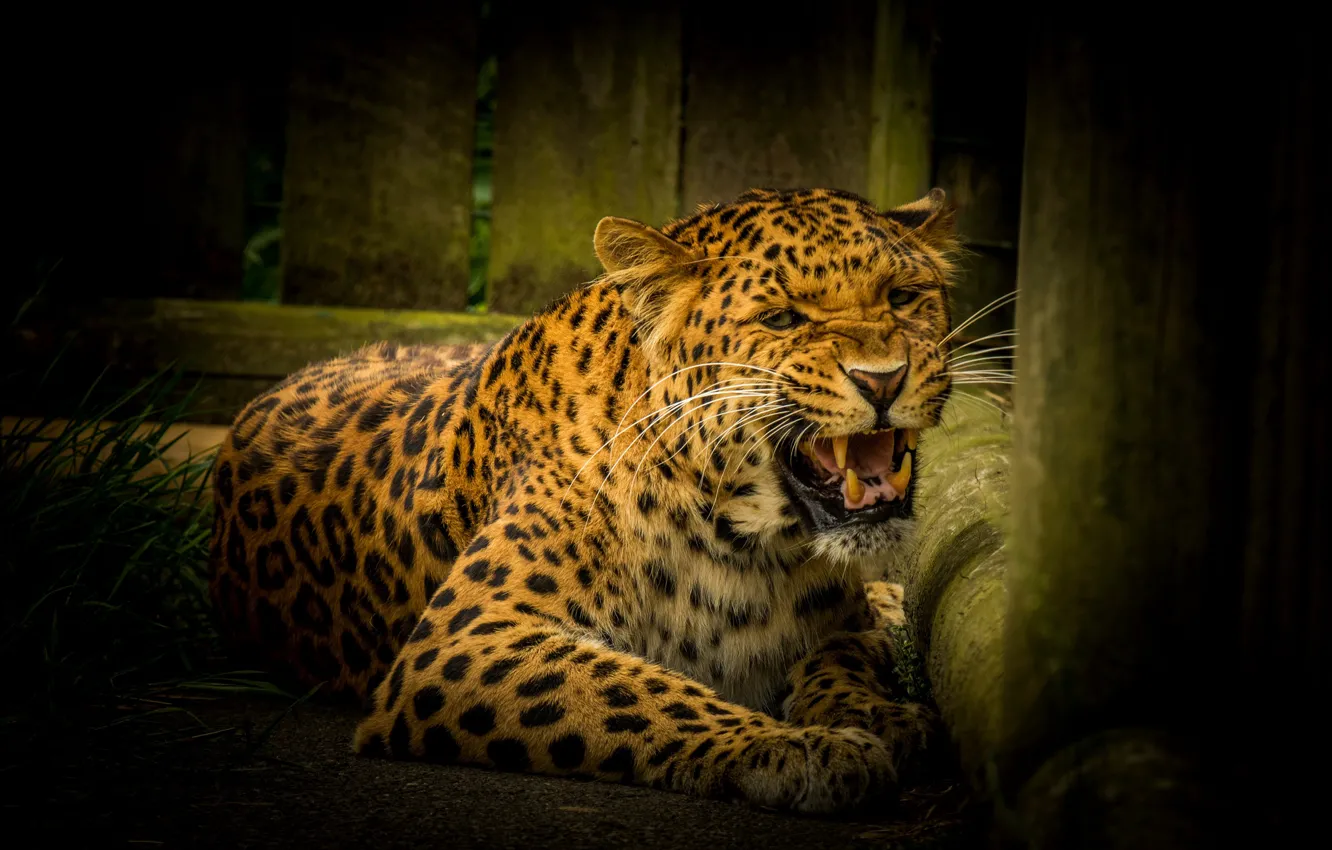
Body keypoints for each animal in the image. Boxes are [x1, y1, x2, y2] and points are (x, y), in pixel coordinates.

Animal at [208, 186, 961, 814]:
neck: (747, 544)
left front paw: (875, 716)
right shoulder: (468, 638)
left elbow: (844, 658)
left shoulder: (840, 624)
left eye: (904, 298)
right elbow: (642, 693)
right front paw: (794, 747)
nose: (883, 379)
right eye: (780, 318)